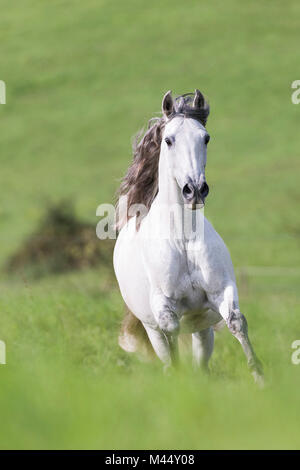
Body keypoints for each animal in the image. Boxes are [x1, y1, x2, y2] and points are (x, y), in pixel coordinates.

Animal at [113, 90, 264, 384]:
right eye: (168, 140)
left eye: (205, 137)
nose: (194, 190)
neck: (182, 239)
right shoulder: (164, 307)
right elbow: (171, 331)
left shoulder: (222, 291)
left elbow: (237, 322)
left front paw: (260, 378)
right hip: (152, 329)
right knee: (166, 349)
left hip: (201, 328)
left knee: (202, 362)